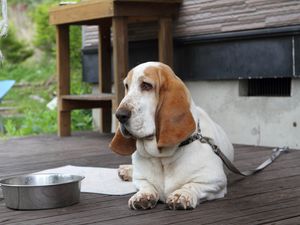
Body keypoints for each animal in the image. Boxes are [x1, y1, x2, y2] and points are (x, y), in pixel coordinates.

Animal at [109, 61, 233, 209]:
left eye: (146, 85)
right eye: (126, 86)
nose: (119, 115)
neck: (162, 157)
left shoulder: (215, 181)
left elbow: (191, 186)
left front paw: (181, 195)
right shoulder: (141, 179)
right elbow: (146, 185)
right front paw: (143, 196)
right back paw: (126, 170)